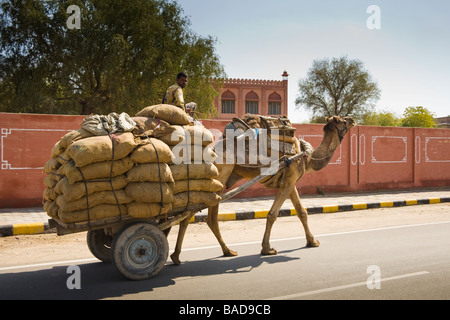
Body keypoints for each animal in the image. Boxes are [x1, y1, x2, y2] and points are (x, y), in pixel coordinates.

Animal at [169, 115, 356, 264]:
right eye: (341, 120)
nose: (352, 119)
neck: (306, 156)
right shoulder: (289, 181)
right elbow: (273, 214)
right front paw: (267, 249)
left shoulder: (290, 182)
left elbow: (302, 212)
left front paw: (312, 242)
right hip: (219, 178)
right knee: (206, 217)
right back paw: (223, 251)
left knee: (192, 215)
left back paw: (179, 256)